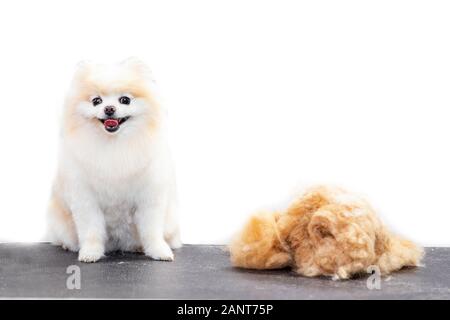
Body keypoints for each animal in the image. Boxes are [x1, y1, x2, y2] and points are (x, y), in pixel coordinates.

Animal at [45, 58, 179, 262]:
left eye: (125, 100)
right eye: (96, 101)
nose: (109, 109)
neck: (115, 145)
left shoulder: (149, 198)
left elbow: (152, 230)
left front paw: (159, 251)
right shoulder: (85, 198)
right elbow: (91, 229)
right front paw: (90, 252)